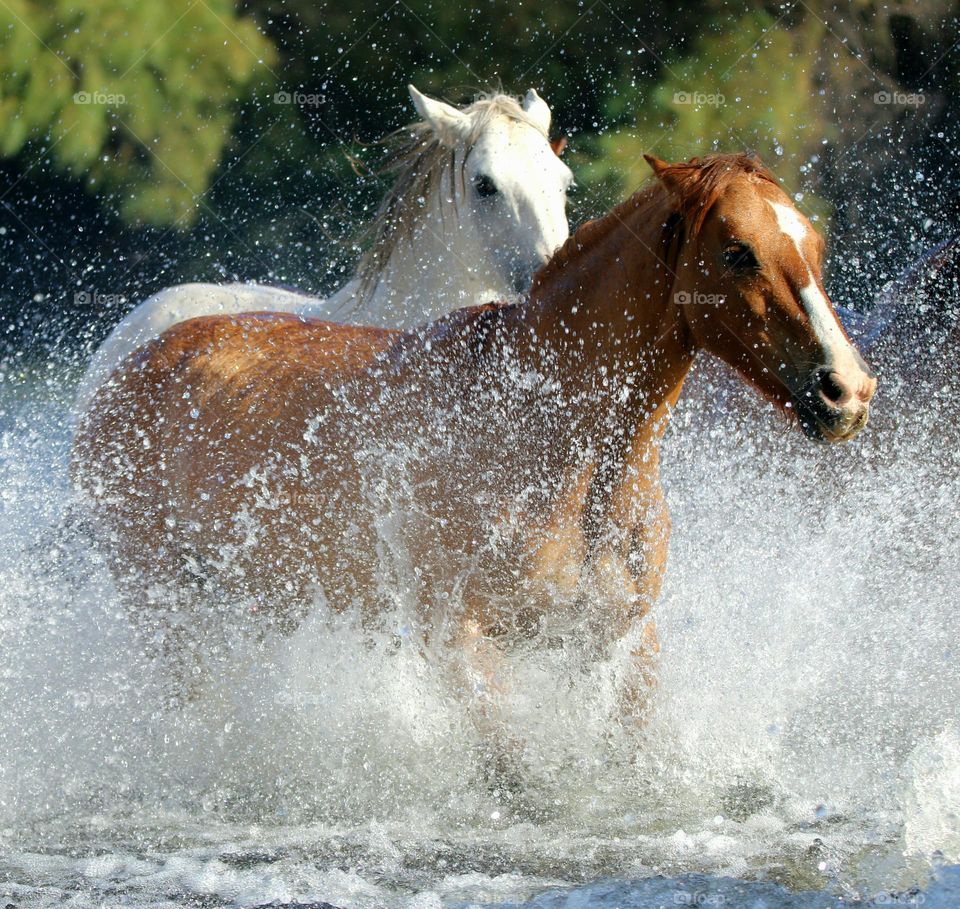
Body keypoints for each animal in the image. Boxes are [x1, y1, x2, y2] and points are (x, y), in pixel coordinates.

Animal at [72, 153, 876, 776]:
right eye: (738, 250)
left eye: (814, 244)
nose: (846, 389)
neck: (550, 437)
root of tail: (128, 364)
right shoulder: (457, 640)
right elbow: (518, 772)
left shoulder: (618, 640)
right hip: (166, 611)